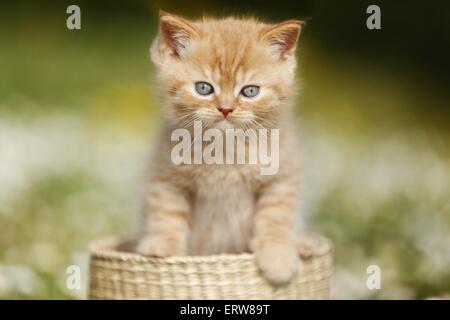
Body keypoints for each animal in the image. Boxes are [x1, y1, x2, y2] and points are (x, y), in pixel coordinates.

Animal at [136, 11, 306, 284]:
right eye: (204, 88)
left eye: (250, 91)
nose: (226, 109)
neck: (225, 150)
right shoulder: (166, 174)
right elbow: (166, 210)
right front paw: (162, 244)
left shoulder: (281, 177)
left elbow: (276, 216)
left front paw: (278, 258)